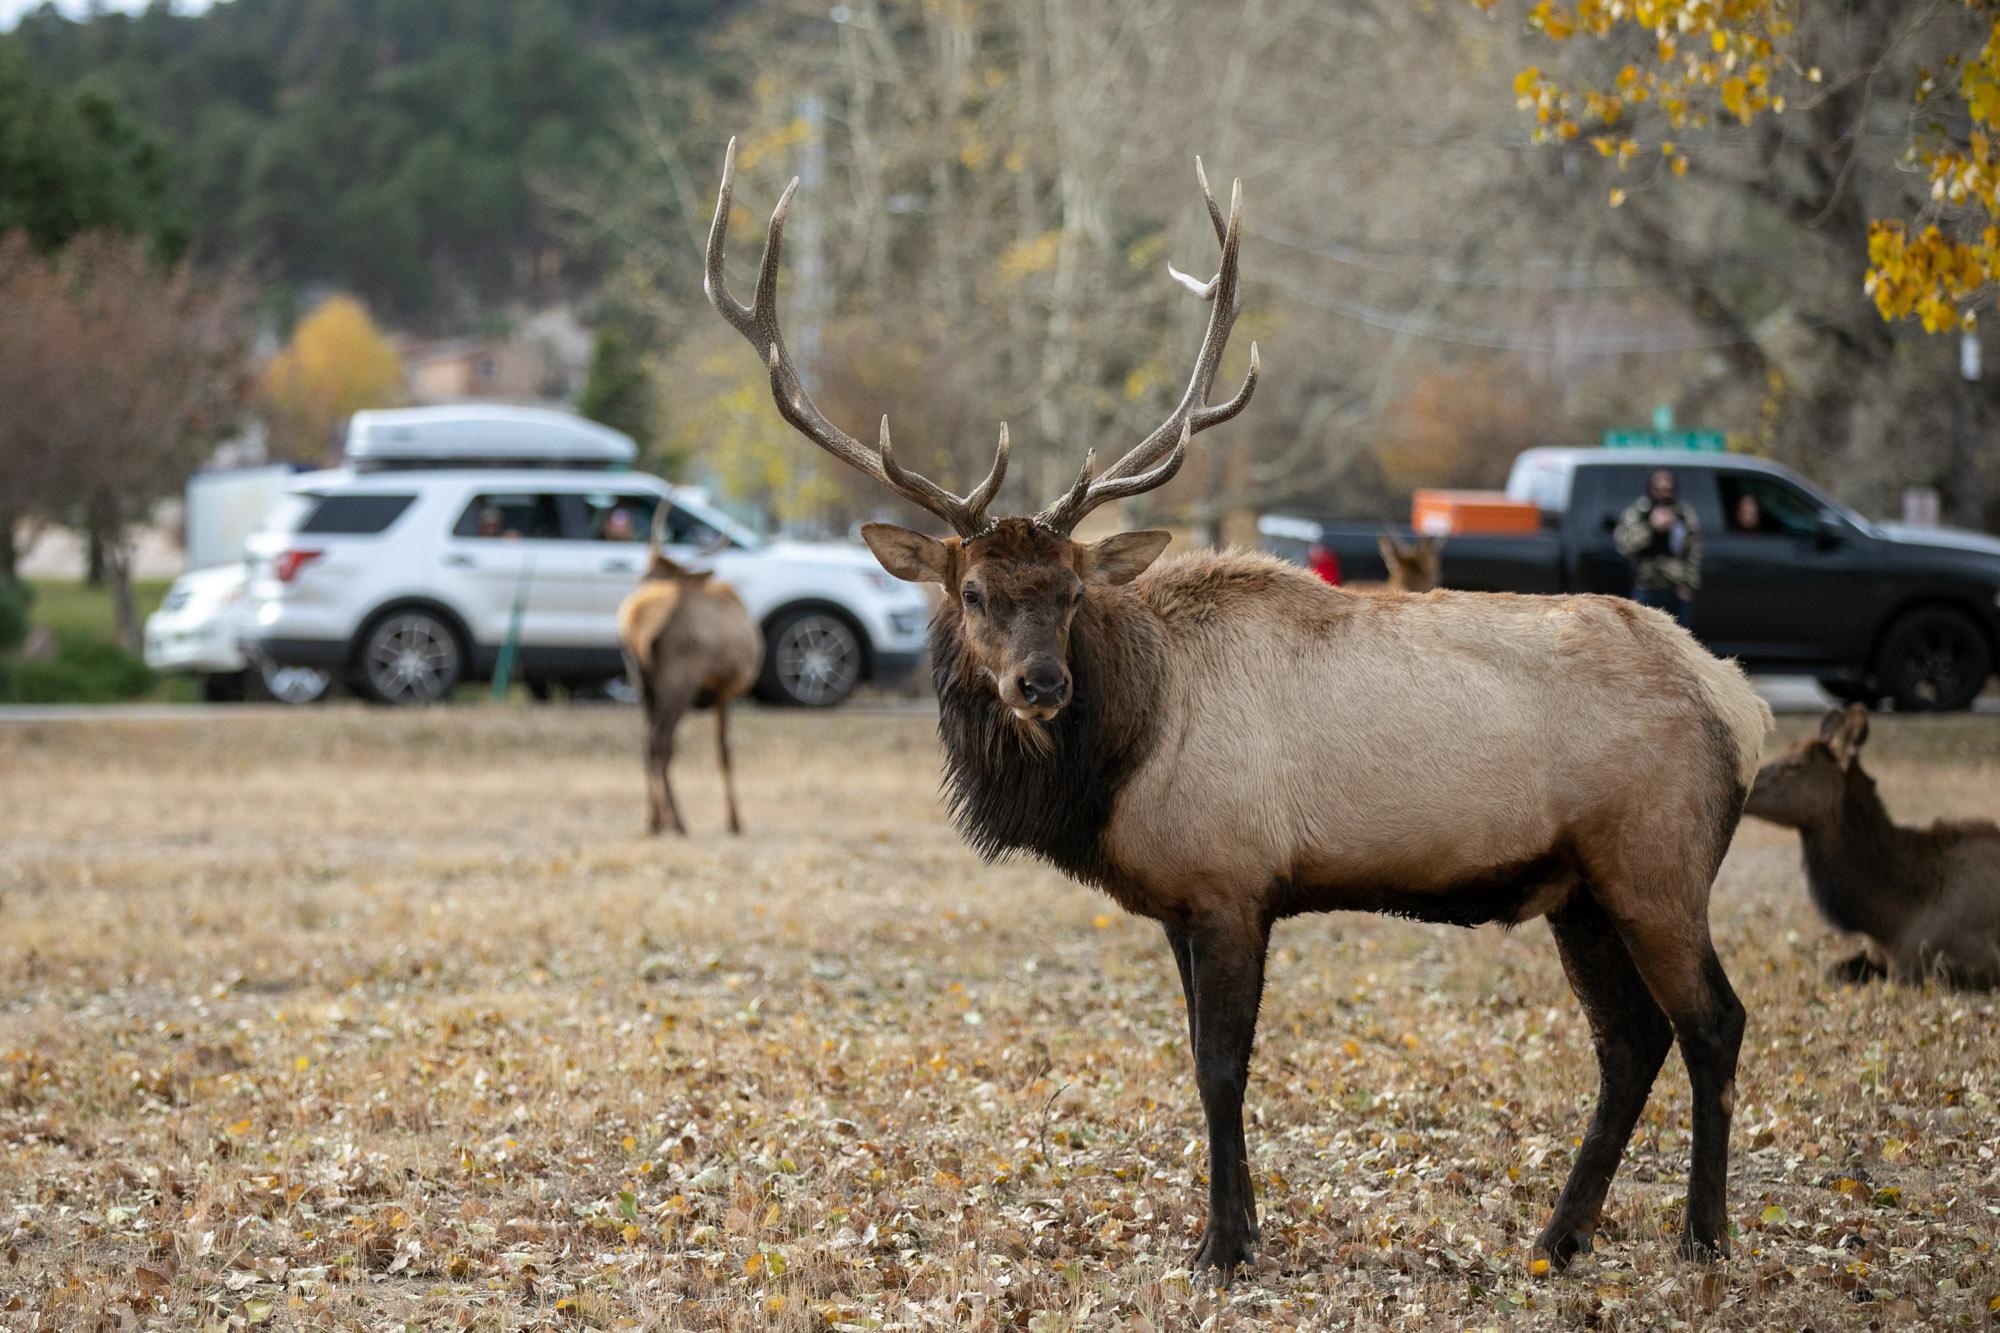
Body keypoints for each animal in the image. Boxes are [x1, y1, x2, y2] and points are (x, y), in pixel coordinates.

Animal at [612, 506, 760, 832]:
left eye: (648, 575)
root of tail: (636, 626)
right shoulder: (724, 691)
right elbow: (724, 751)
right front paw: (734, 821)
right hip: (679, 680)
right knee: (662, 742)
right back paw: (677, 821)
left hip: (641, 683)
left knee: (647, 740)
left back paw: (654, 819)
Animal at [700, 140, 1768, 1272]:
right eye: (976, 592)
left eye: (1070, 593)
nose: (1042, 684)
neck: (1124, 755)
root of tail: (1739, 700)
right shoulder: (1180, 900)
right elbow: (1202, 1060)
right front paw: (1240, 1226)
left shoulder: (1230, 880)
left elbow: (1221, 1066)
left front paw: (1220, 1242)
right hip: (1577, 885)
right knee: (1629, 1039)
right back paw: (1558, 1236)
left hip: (1656, 858)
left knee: (1712, 1022)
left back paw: (1702, 1234)